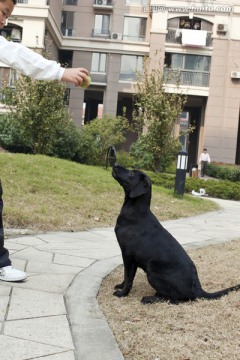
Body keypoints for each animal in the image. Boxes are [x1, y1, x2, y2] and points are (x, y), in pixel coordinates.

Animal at [112, 165, 240, 304]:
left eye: (131, 173)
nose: (115, 164)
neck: (135, 211)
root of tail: (198, 289)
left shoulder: (127, 254)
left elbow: (128, 277)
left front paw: (122, 293)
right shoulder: (132, 259)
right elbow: (127, 276)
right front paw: (120, 285)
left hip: (152, 269)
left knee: (174, 299)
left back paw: (149, 298)